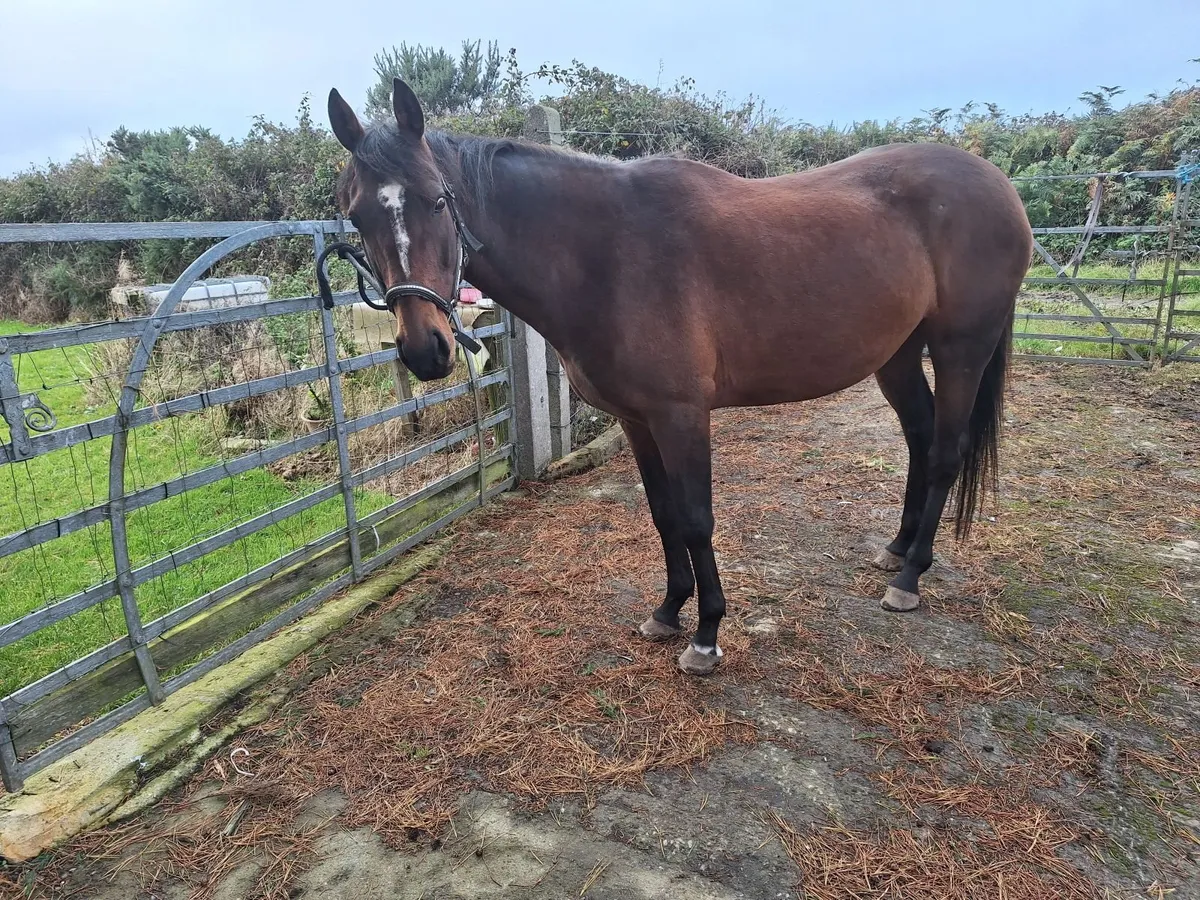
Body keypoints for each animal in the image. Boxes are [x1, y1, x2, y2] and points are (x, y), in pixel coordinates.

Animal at [324, 77, 1033, 676]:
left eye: (437, 201)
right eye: (356, 216)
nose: (425, 351)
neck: (606, 253)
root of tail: (998, 185)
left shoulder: (681, 415)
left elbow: (695, 518)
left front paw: (707, 635)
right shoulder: (638, 419)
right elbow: (664, 514)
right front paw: (668, 612)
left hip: (961, 349)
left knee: (943, 453)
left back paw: (910, 578)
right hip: (896, 356)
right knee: (918, 441)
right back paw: (896, 548)